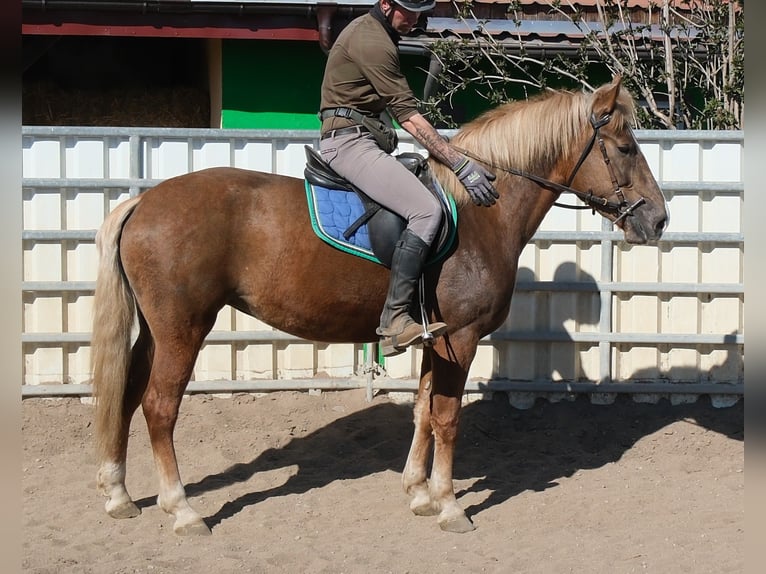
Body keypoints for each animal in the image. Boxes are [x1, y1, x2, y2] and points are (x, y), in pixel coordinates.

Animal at [91, 77, 668, 535]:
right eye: (624, 147)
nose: (659, 220)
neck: (478, 214)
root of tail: (143, 201)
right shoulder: (461, 339)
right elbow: (448, 418)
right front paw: (450, 505)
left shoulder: (437, 338)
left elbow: (423, 410)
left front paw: (418, 492)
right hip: (183, 328)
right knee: (159, 406)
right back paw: (183, 510)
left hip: (156, 330)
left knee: (127, 392)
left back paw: (119, 495)